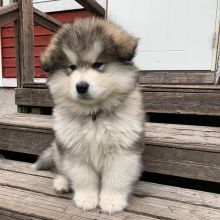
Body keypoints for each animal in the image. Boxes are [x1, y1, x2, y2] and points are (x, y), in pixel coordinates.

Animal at [33, 17, 144, 215]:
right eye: (71, 67)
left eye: (98, 64)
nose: (81, 86)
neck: (93, 115)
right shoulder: (75, 150)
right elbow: (84, 178)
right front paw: (86, 199)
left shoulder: (122, 152)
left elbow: (115, 179)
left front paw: (112, 201)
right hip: (59, 150)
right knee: (60, 170)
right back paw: (62, 183)